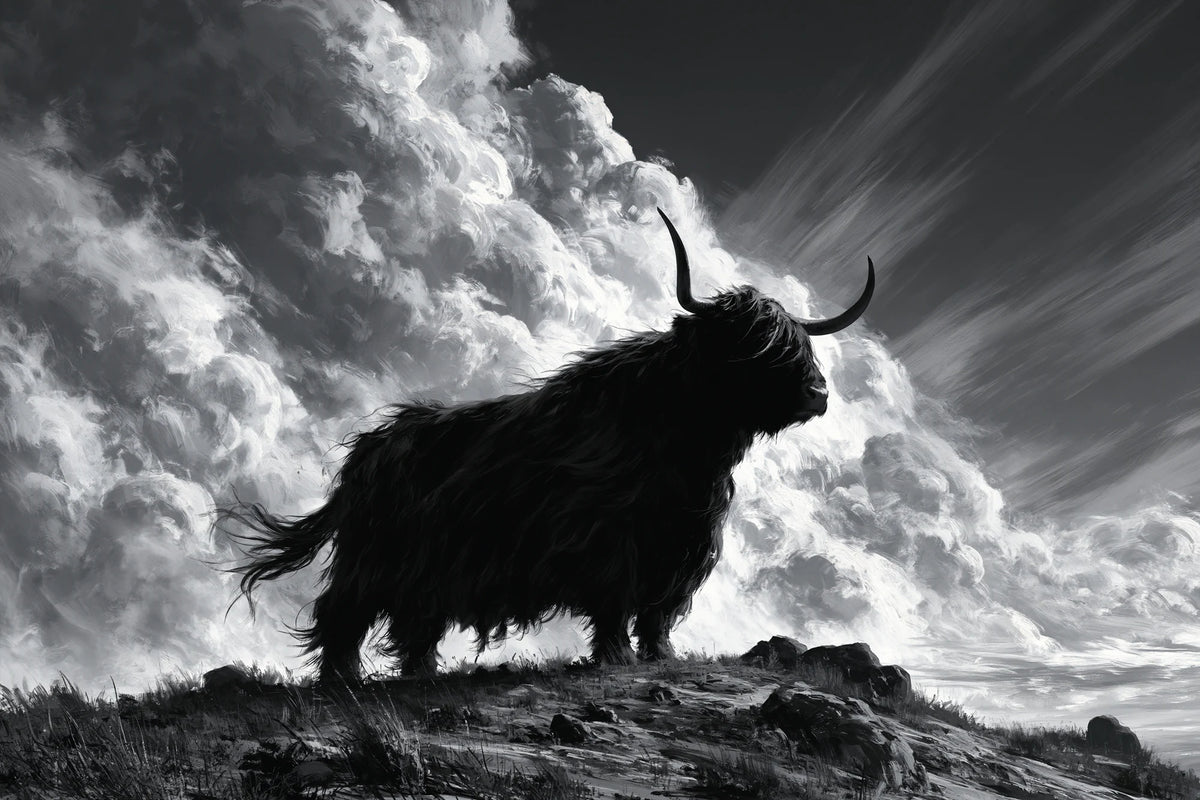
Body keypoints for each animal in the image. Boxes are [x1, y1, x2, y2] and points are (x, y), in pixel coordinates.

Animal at [222, 208, 874, 683]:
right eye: (752, 343)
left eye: (798, 344)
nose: (817, 393)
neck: (686, 444)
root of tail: (368, 452)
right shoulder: (610, 538)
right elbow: (616, 599)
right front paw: (616, 658)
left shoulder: (681, 546)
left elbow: (659, 610)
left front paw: (660, 656)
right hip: (373, 557)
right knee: (345, 613)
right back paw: (343, 681)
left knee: (414, 623)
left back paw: (419, 675)